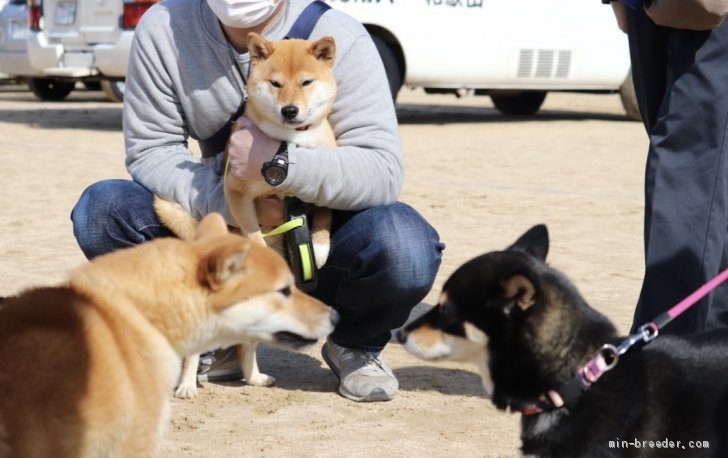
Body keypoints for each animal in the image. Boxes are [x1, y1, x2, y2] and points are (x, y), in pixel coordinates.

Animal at [156, 33, 338, 398]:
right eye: (276, 83)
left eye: (306, 82)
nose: (290, 110)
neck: (289, 144)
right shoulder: (237, 193)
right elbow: (253, 232)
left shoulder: (324, 184)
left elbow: (324, 218)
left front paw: (320, 248)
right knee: (196, 350)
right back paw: (186, 385)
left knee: (246, 345)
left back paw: (254, 377)